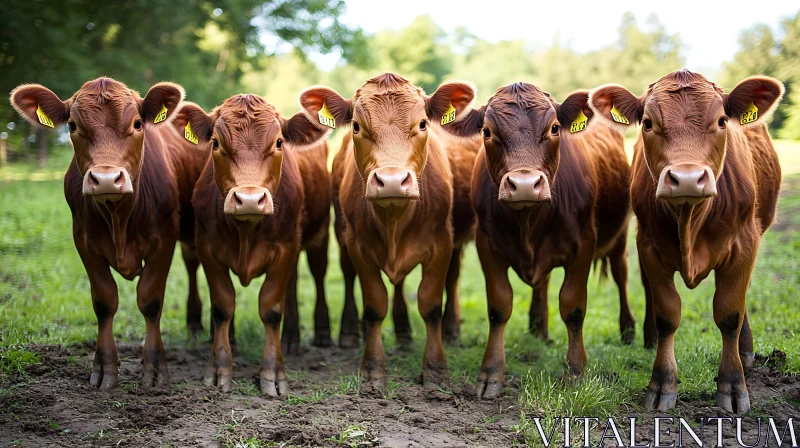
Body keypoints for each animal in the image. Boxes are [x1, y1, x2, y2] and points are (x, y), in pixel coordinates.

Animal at [9, 77, 209, 388]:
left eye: (137, 124)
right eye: (73, 126)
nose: (105, 179)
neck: (119, 218)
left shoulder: (165, 239)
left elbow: (150, 301)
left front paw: (154, 368)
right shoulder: (83, 240)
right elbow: (104, 301)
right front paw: (105, 367)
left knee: (192, 262)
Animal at [177, 94, 330, 396]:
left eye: (279, 142)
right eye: (215, 143)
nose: (249, 199)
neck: (246, 230)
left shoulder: (285, 249)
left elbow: (271, 309)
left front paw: (273, 373)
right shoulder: (207, 247)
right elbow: (222, 306)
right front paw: (219, 367)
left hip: (318, 238)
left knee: (315, 277)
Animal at [296, 74, 478, 392]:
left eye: (423, 123)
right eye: (357, 126)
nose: (392, 181)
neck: (394, 219)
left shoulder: (441, 243)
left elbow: (431, 304)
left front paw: (436, 369)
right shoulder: (358, 246)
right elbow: (374, 305)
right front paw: (373, 368)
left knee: (450, 277)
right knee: (349, 277)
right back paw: (352, 333)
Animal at [440, 83, 636, 400]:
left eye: (554, 128)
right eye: (487, 132)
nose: (524, 185)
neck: (528, 222)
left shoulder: (584, 244)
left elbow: (573, 306)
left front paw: (576, 371)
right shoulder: (487, 244)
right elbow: (499, 306)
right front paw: (491, 373)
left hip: (619, 236)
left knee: (621, 276)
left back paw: (631, 331)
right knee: (542, 284)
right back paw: (538, 328)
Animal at [592, 71, 784, 412]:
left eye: (721, 121)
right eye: (648, 123)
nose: (687, 179)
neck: (689, 220)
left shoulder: (745, 244)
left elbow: (730, 313)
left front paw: (733, 384)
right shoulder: (649, 247)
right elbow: (667, 314)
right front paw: (662, 383)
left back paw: (745, 352)